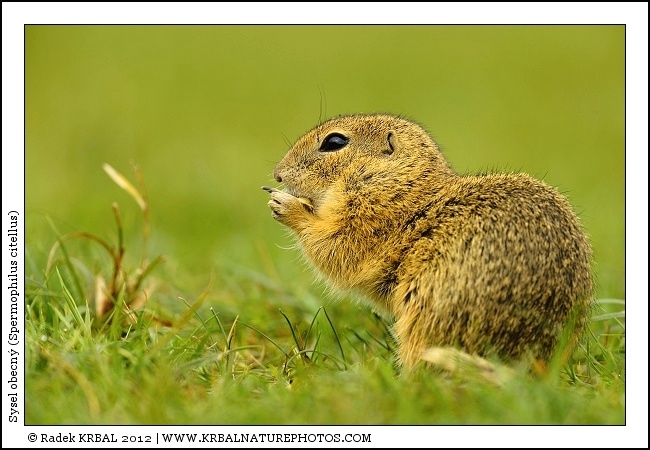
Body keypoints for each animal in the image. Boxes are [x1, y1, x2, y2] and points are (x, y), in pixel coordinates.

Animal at [263, 113, 593, 374]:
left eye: (334, 142)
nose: (277, 174)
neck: (400, 182)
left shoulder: (369, 217)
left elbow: (335, 248)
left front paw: (285, 205)